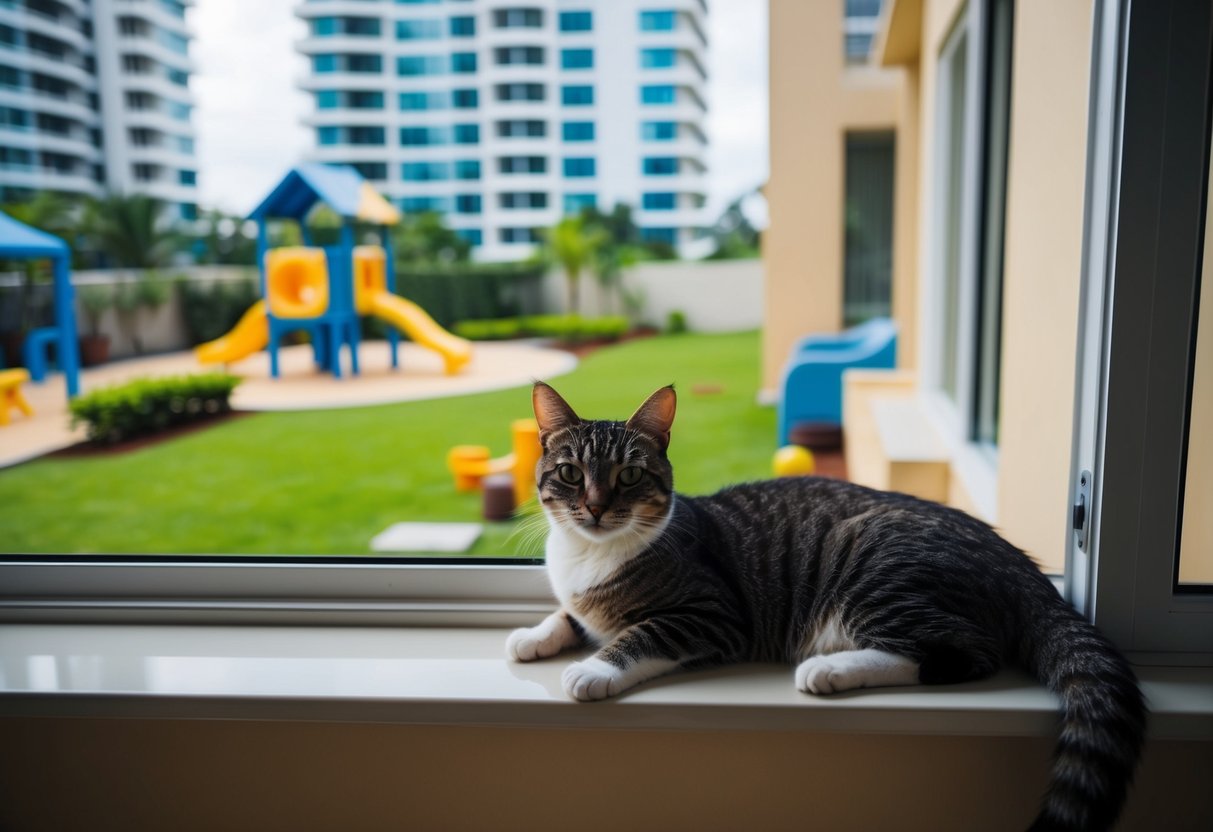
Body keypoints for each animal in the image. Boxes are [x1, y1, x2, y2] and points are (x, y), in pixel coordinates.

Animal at [509, 385, 1145, 832]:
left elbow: (638, 635)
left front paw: (593, 668)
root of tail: (1019, 562)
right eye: (569, 473)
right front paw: (533, 635)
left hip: (875, 571)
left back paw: (830, 669)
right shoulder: (580, 598)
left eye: (630, 474)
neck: (591, 553)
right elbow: (570, 613)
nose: (594, 507)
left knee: (962, 652)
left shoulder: (712, 614)